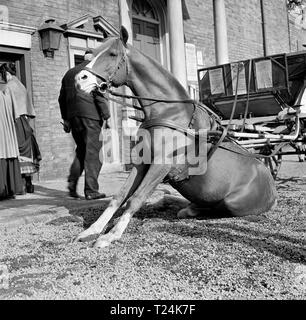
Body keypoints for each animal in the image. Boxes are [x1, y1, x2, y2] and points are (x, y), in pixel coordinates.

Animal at [74, 26, 278, 249]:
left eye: (112, 54)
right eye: (92, 53)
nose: (79, 79)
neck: (168, 112)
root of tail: (271, 187)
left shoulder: (161, 164)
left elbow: (135, 198)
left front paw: (111, 235)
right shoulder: (141, 162)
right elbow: (119, 196)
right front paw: (93, 229)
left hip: (232, 203)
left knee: (213, 208)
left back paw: (187, 208)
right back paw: (169, 200)